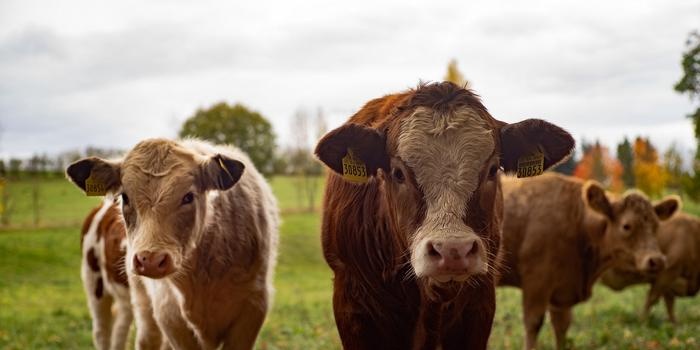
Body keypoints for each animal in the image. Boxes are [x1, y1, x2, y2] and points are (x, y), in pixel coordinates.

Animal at [498, 174, 680, 350]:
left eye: (656, 226)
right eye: (626, 226)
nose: (657, 260)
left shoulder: (562, 293)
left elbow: (562, 327)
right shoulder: (536, 282)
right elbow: (533, 323)